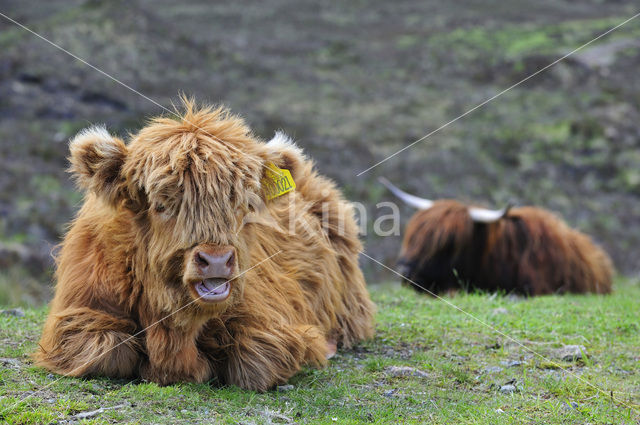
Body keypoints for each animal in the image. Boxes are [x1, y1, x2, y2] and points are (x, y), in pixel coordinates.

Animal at [33, 99, 376, 390]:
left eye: (243, 205)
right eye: (161, 204)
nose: (216, 260)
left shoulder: (273, 322)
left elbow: (253, 364)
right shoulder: (74, 317)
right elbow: (109, 352)